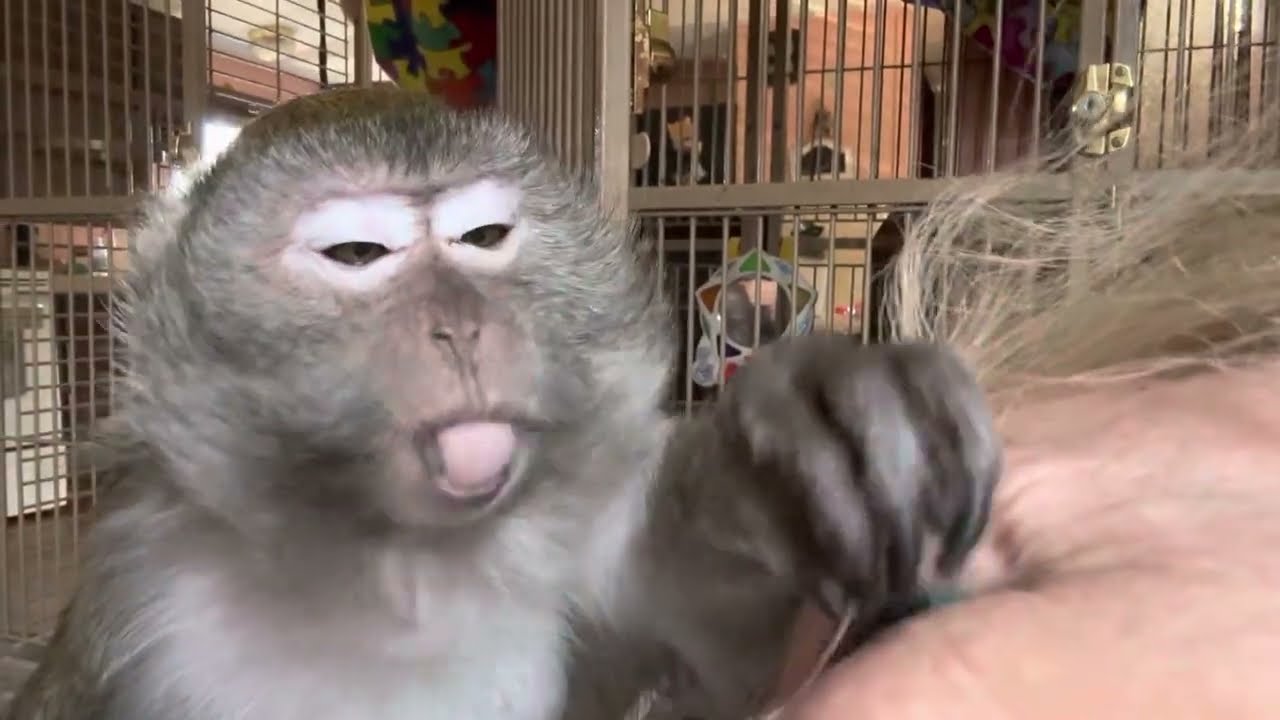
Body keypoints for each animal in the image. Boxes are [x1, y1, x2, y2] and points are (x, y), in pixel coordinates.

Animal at [6, 87, 999, 720]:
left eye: (484, 238)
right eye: (357, 254)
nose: (461, 326)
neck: (401, 576)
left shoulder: (576, 554)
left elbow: (727, 666)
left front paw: (769, 463)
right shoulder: (145, 608)